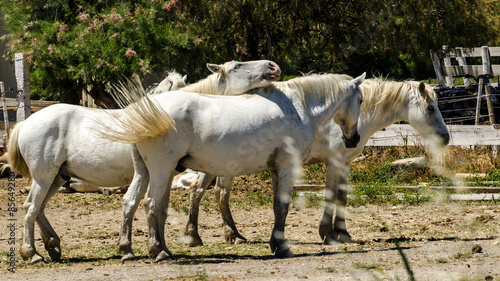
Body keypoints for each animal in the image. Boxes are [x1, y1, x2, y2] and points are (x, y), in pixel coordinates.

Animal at [7, 59, 282, 262]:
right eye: (237, 66)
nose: (273, 68)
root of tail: (24, 123)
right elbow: (202, 194)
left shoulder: (166, 171)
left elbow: (159, 206)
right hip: (45, 177)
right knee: (31, 207)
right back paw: (33, 253)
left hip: (57, 177)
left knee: (39, 209)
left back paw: (52, 246)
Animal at [103, 71, 366, 260]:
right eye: (361, 100)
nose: (353, 139)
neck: (299, 109)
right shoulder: (287, 167)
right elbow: (283, 207)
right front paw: (282, 247)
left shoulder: (276, 170)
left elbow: (276, 207)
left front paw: (275, 243)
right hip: (160, 170)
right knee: (151, 204)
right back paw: (158, 252)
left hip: (145, 171)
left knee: (132, 202)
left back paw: (128, 249)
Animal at [181, 77, 450, 246]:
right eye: (430, 107)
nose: (446, 138)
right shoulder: (333, 162)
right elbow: (331, 195)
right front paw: (327, 233)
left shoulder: (345, 163)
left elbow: (342, 196)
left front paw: (342, 232)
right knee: (207, 191)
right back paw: (209, 236)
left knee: (210, 192)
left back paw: (229, 234)